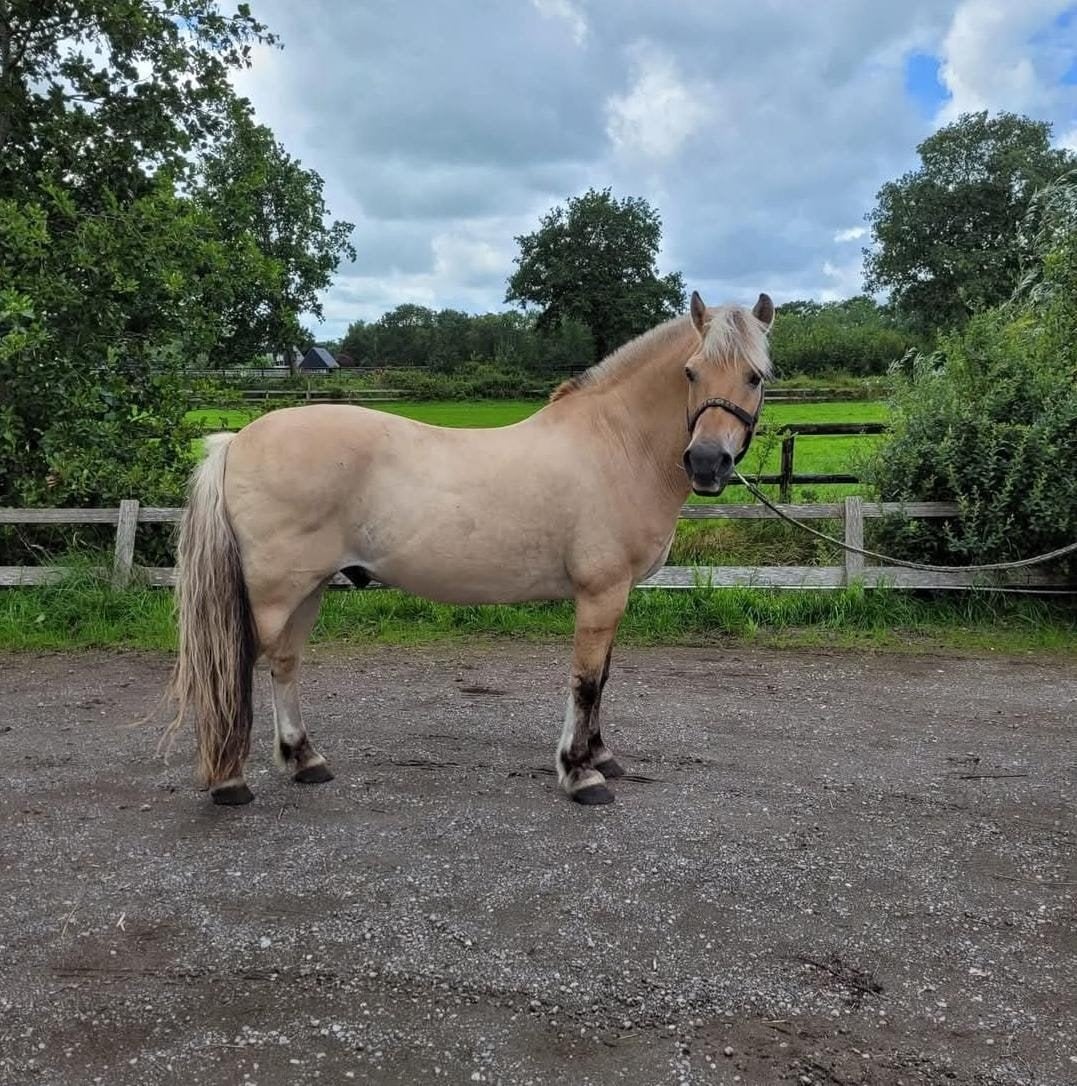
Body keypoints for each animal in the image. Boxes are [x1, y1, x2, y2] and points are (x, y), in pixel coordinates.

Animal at [164, 291, 774, 807]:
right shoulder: (601, 593)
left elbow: (603, 679)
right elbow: (585, 681)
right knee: (236, 668)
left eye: (756, 376)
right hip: (273, 591)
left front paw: (602, 756)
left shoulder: (616, 595)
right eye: (691, 372)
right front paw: (581, 774)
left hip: (307, 588)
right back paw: (230, 782)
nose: (707, 464)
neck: (615, 445)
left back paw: (305, 761)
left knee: (284, 663)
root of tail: (236, 441)